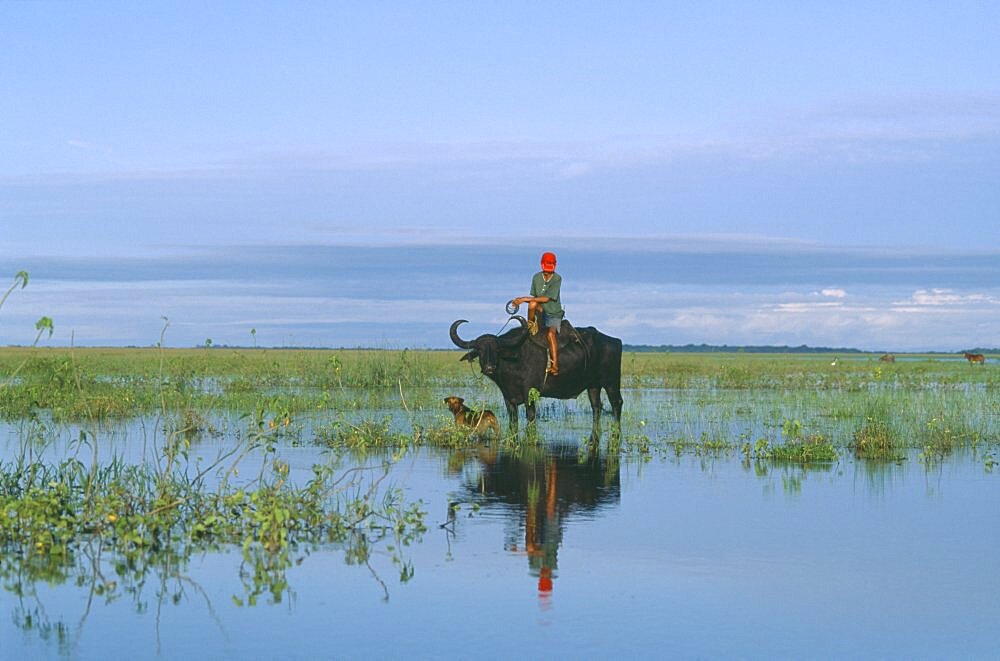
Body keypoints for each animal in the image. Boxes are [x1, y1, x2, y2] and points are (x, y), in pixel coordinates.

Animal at [450, 316, 620, 434]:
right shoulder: (508, 398)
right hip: (593, 387)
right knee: (596, 408)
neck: (514, 361)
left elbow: (531, 417)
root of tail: (615, 341)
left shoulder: (530, 394)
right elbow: (513, 420)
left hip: (611, 383)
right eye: (480, 350)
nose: (489, 368)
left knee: (617, 404)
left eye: (497, 349)